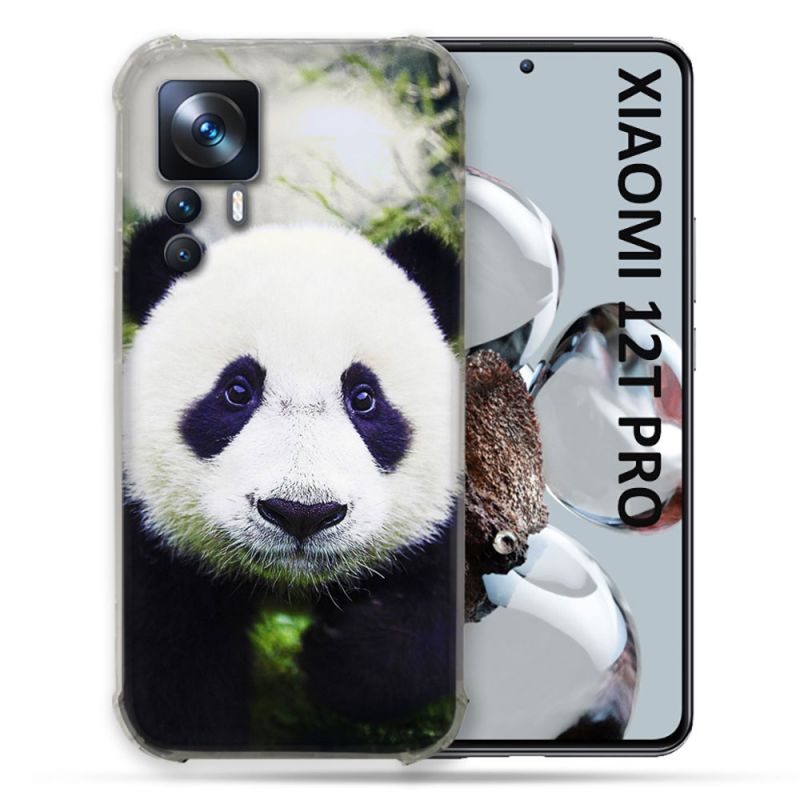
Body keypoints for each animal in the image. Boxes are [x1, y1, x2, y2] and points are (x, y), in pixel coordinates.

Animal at [121, 217, 461, 749]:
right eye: (237, 390)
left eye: (364, 397)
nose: (302, 513)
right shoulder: (156, 548)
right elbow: (175, 668)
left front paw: (337, 658)